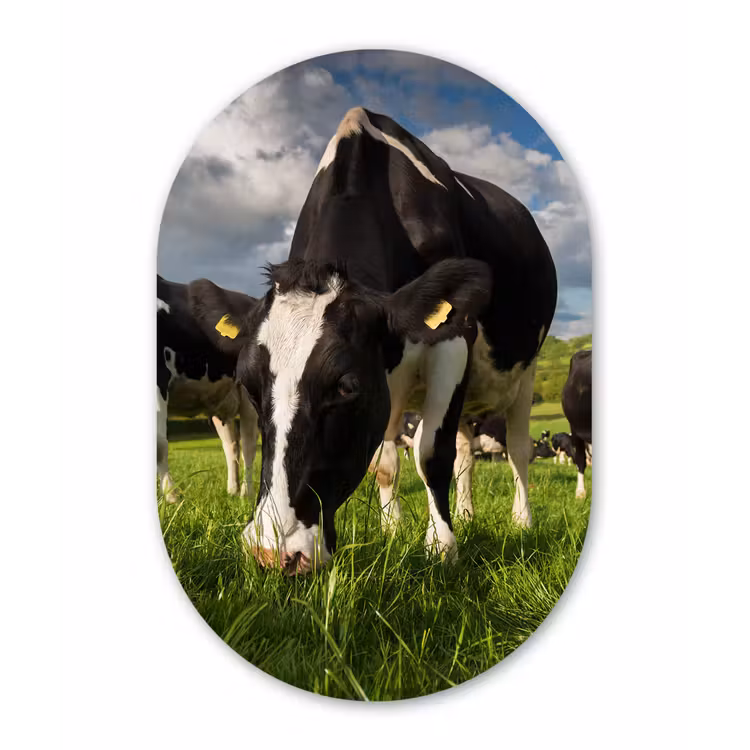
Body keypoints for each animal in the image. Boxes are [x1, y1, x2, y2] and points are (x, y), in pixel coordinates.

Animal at [157, 275, 259, 502]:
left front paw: (172, 498)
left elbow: (159, 445)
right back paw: (232, 490)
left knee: (248, 444)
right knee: (231, 445)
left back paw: (246, 494)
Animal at [207, 107, 557, 572]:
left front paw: (442, 547)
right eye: (248, 385)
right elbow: (386, 464)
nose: (273, 551)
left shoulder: (452, 339)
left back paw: (522, 521)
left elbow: (431, 453)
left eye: (345, 386)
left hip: (526, 372)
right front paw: (393, 529)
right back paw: (466, 513)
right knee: (466, 452)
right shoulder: (387, 380)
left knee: (517, 450)